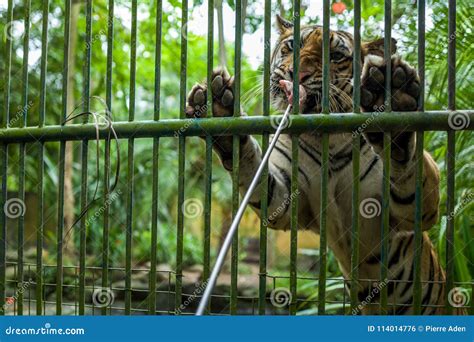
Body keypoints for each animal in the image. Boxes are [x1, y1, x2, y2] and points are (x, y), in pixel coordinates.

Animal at [186, 15, 462, 316]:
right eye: (292, 45)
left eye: (336, 56)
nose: (296, 75)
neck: (325, 139)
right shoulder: (285, 200)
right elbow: (253, 171)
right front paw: (218, 109)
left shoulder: (409, 212)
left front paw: (394, 101)